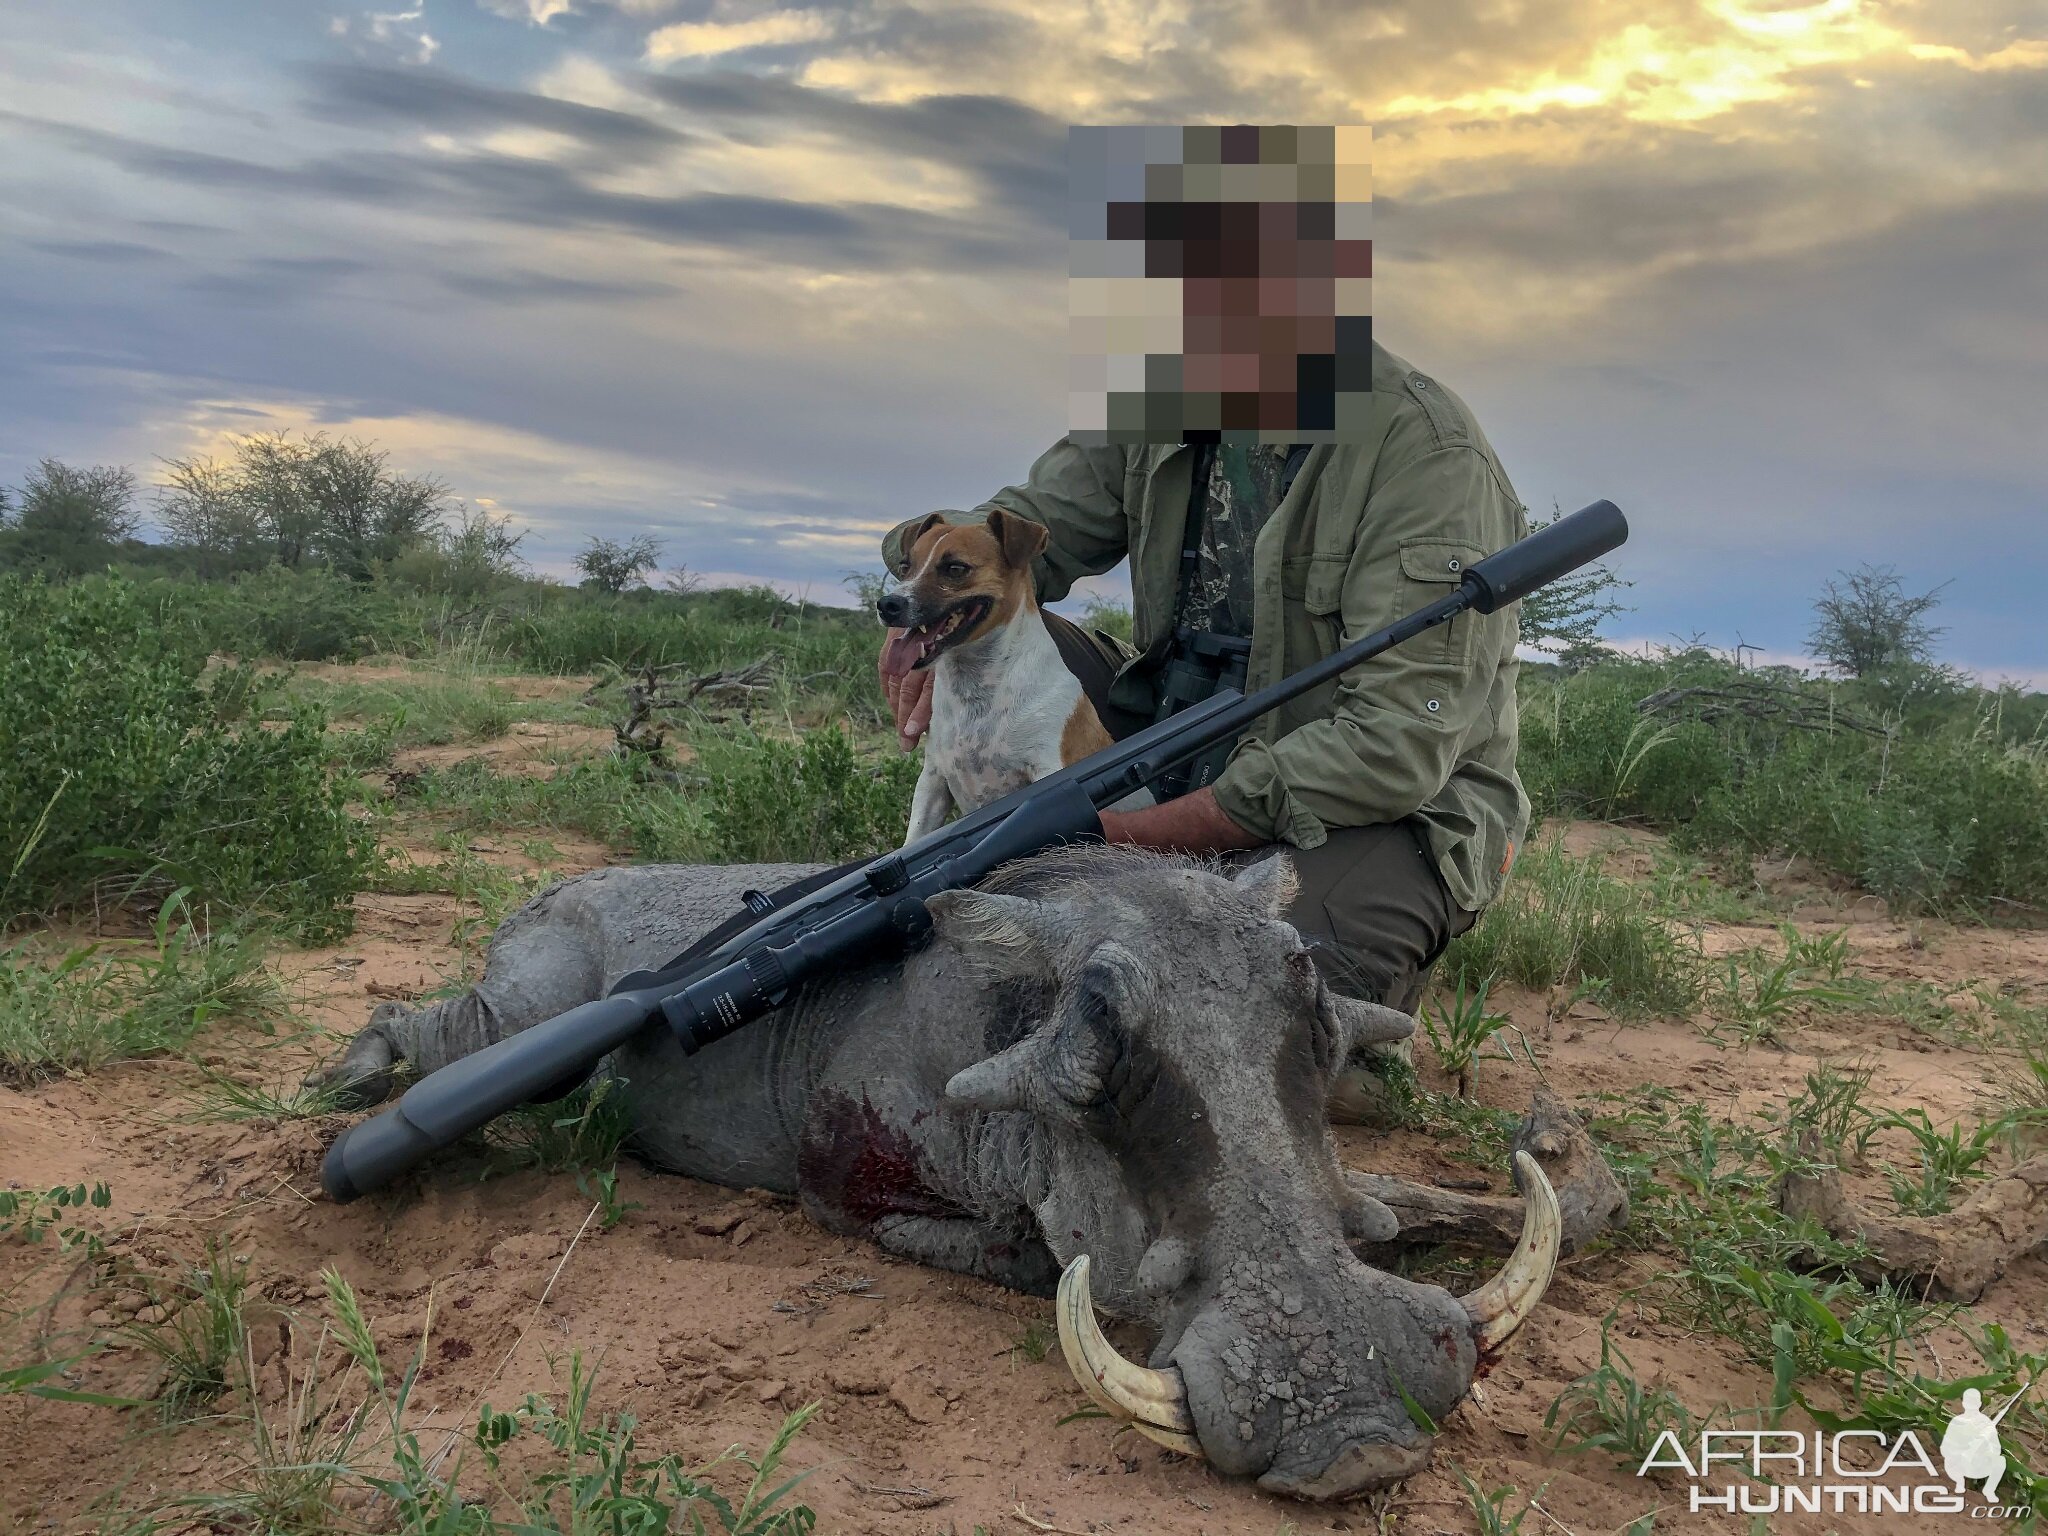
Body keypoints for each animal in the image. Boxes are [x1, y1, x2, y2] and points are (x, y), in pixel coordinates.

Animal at [876, 512, 1138, 847]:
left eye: (955, 568)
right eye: (906, 566)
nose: (887, 605)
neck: (976, 691)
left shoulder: (1049, 769)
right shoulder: (933, 781)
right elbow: (915, 837)